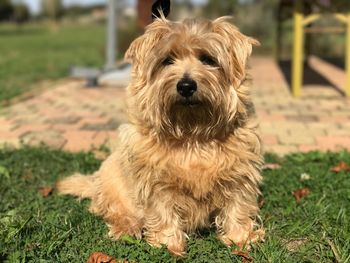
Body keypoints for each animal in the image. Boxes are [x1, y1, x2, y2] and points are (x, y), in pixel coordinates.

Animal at [57, 15, 264, 256]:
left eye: (208, 59)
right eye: (167, 60)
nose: (186, 85)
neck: (192, 133)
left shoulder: (239, 174)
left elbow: (237, 207)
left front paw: (241, 238)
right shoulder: (155, 182)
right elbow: (163, 211)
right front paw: (168, 244)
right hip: (112, 181)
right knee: (114, 210)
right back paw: (126, 227)